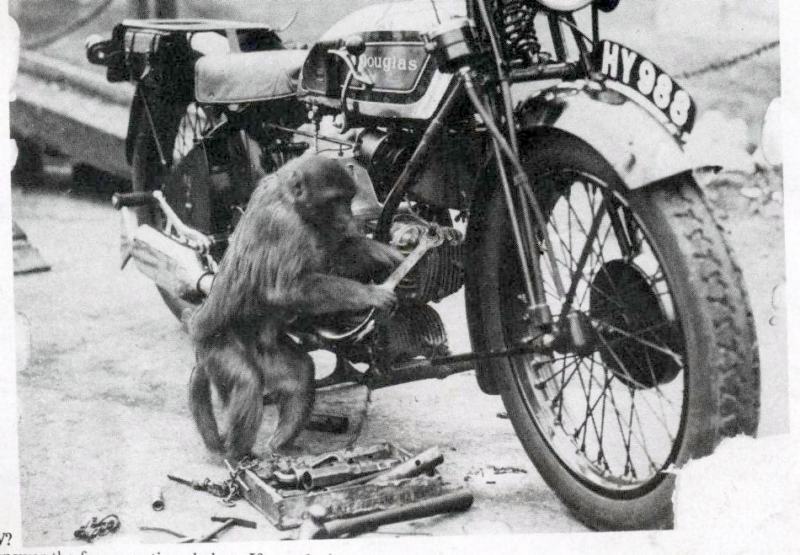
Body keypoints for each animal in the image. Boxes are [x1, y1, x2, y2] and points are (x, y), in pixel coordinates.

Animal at [188, 154, 404, 461]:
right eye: (335, 200)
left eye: (348, 199)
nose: (347, 217)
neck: (290, 200)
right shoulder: (285, 225)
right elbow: (286, 289)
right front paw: (371, 294)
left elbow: (335, 252)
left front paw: (387, 255)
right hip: (217, 346)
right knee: (247, 381)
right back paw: (238, 456)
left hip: (267, 350)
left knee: (300, 374)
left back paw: (280, 443)